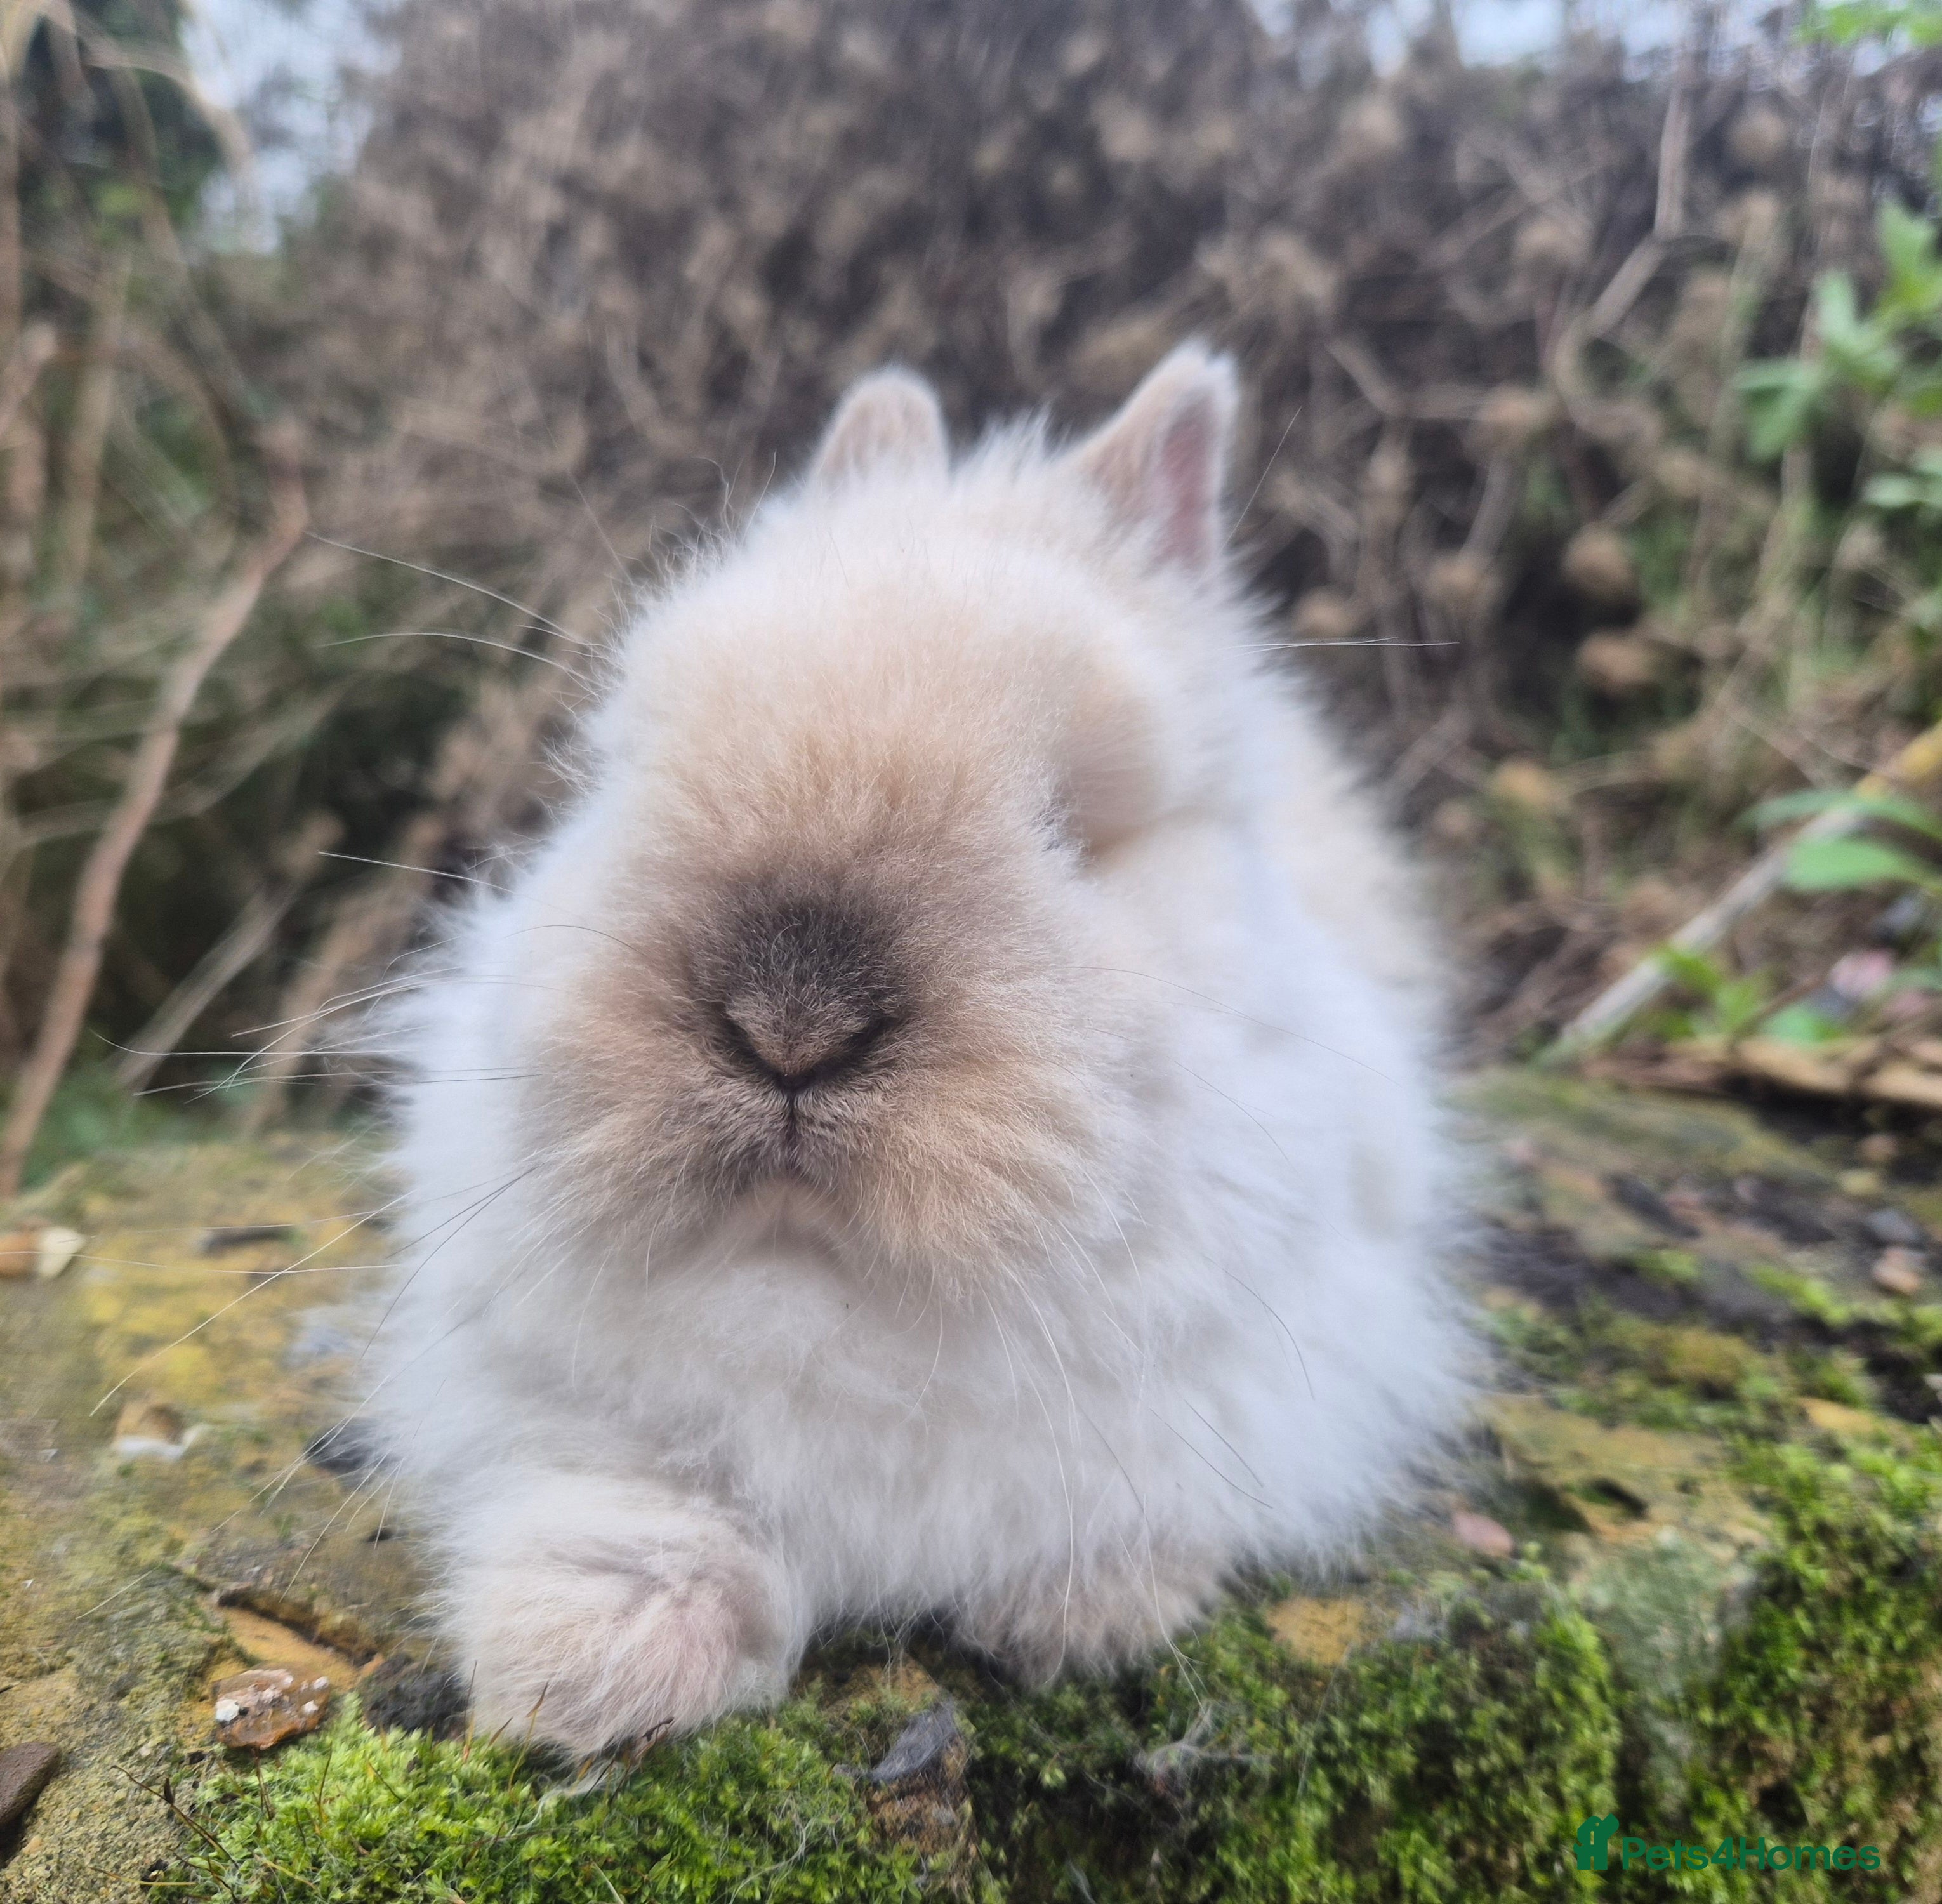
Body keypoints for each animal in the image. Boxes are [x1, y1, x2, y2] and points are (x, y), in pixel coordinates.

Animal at [368, 342, 1469, 1756]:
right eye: (626, 768)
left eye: (1077, 821)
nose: (789, 1025)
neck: (829, 1298)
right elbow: (637, 1504)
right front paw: (579, 1669)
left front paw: (1082, 1617)